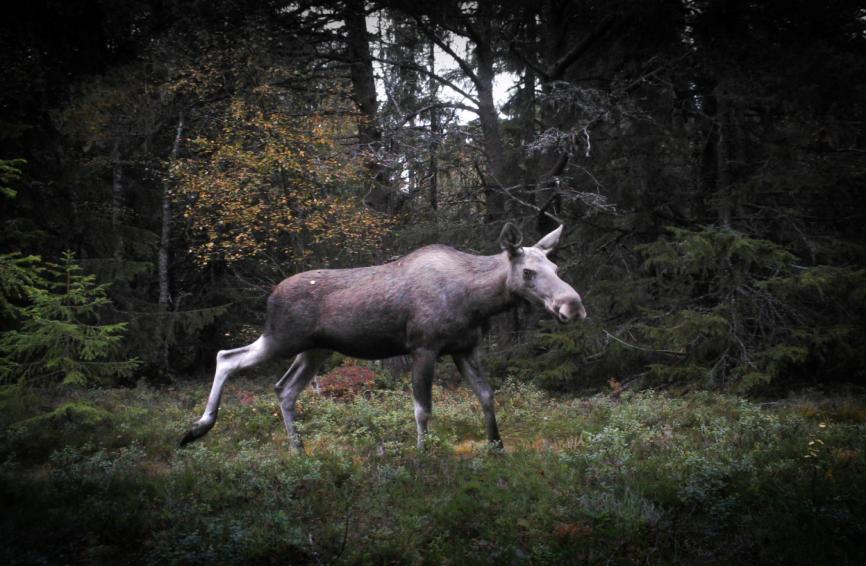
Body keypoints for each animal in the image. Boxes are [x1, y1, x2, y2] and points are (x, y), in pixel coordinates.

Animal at [182, 224, 588, 450]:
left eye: (556, 266)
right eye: (529, 272)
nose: (573, 306)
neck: (478, 302)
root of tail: (271, 295)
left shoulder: (465, 348)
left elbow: (487, 396)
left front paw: (497, 449)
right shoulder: (424, 347)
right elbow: (423, 409)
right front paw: (424, 455)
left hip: (314, 350)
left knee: (284, 388)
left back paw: (298, 450)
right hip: (282, 337)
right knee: (226, 357)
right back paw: (197, 429)